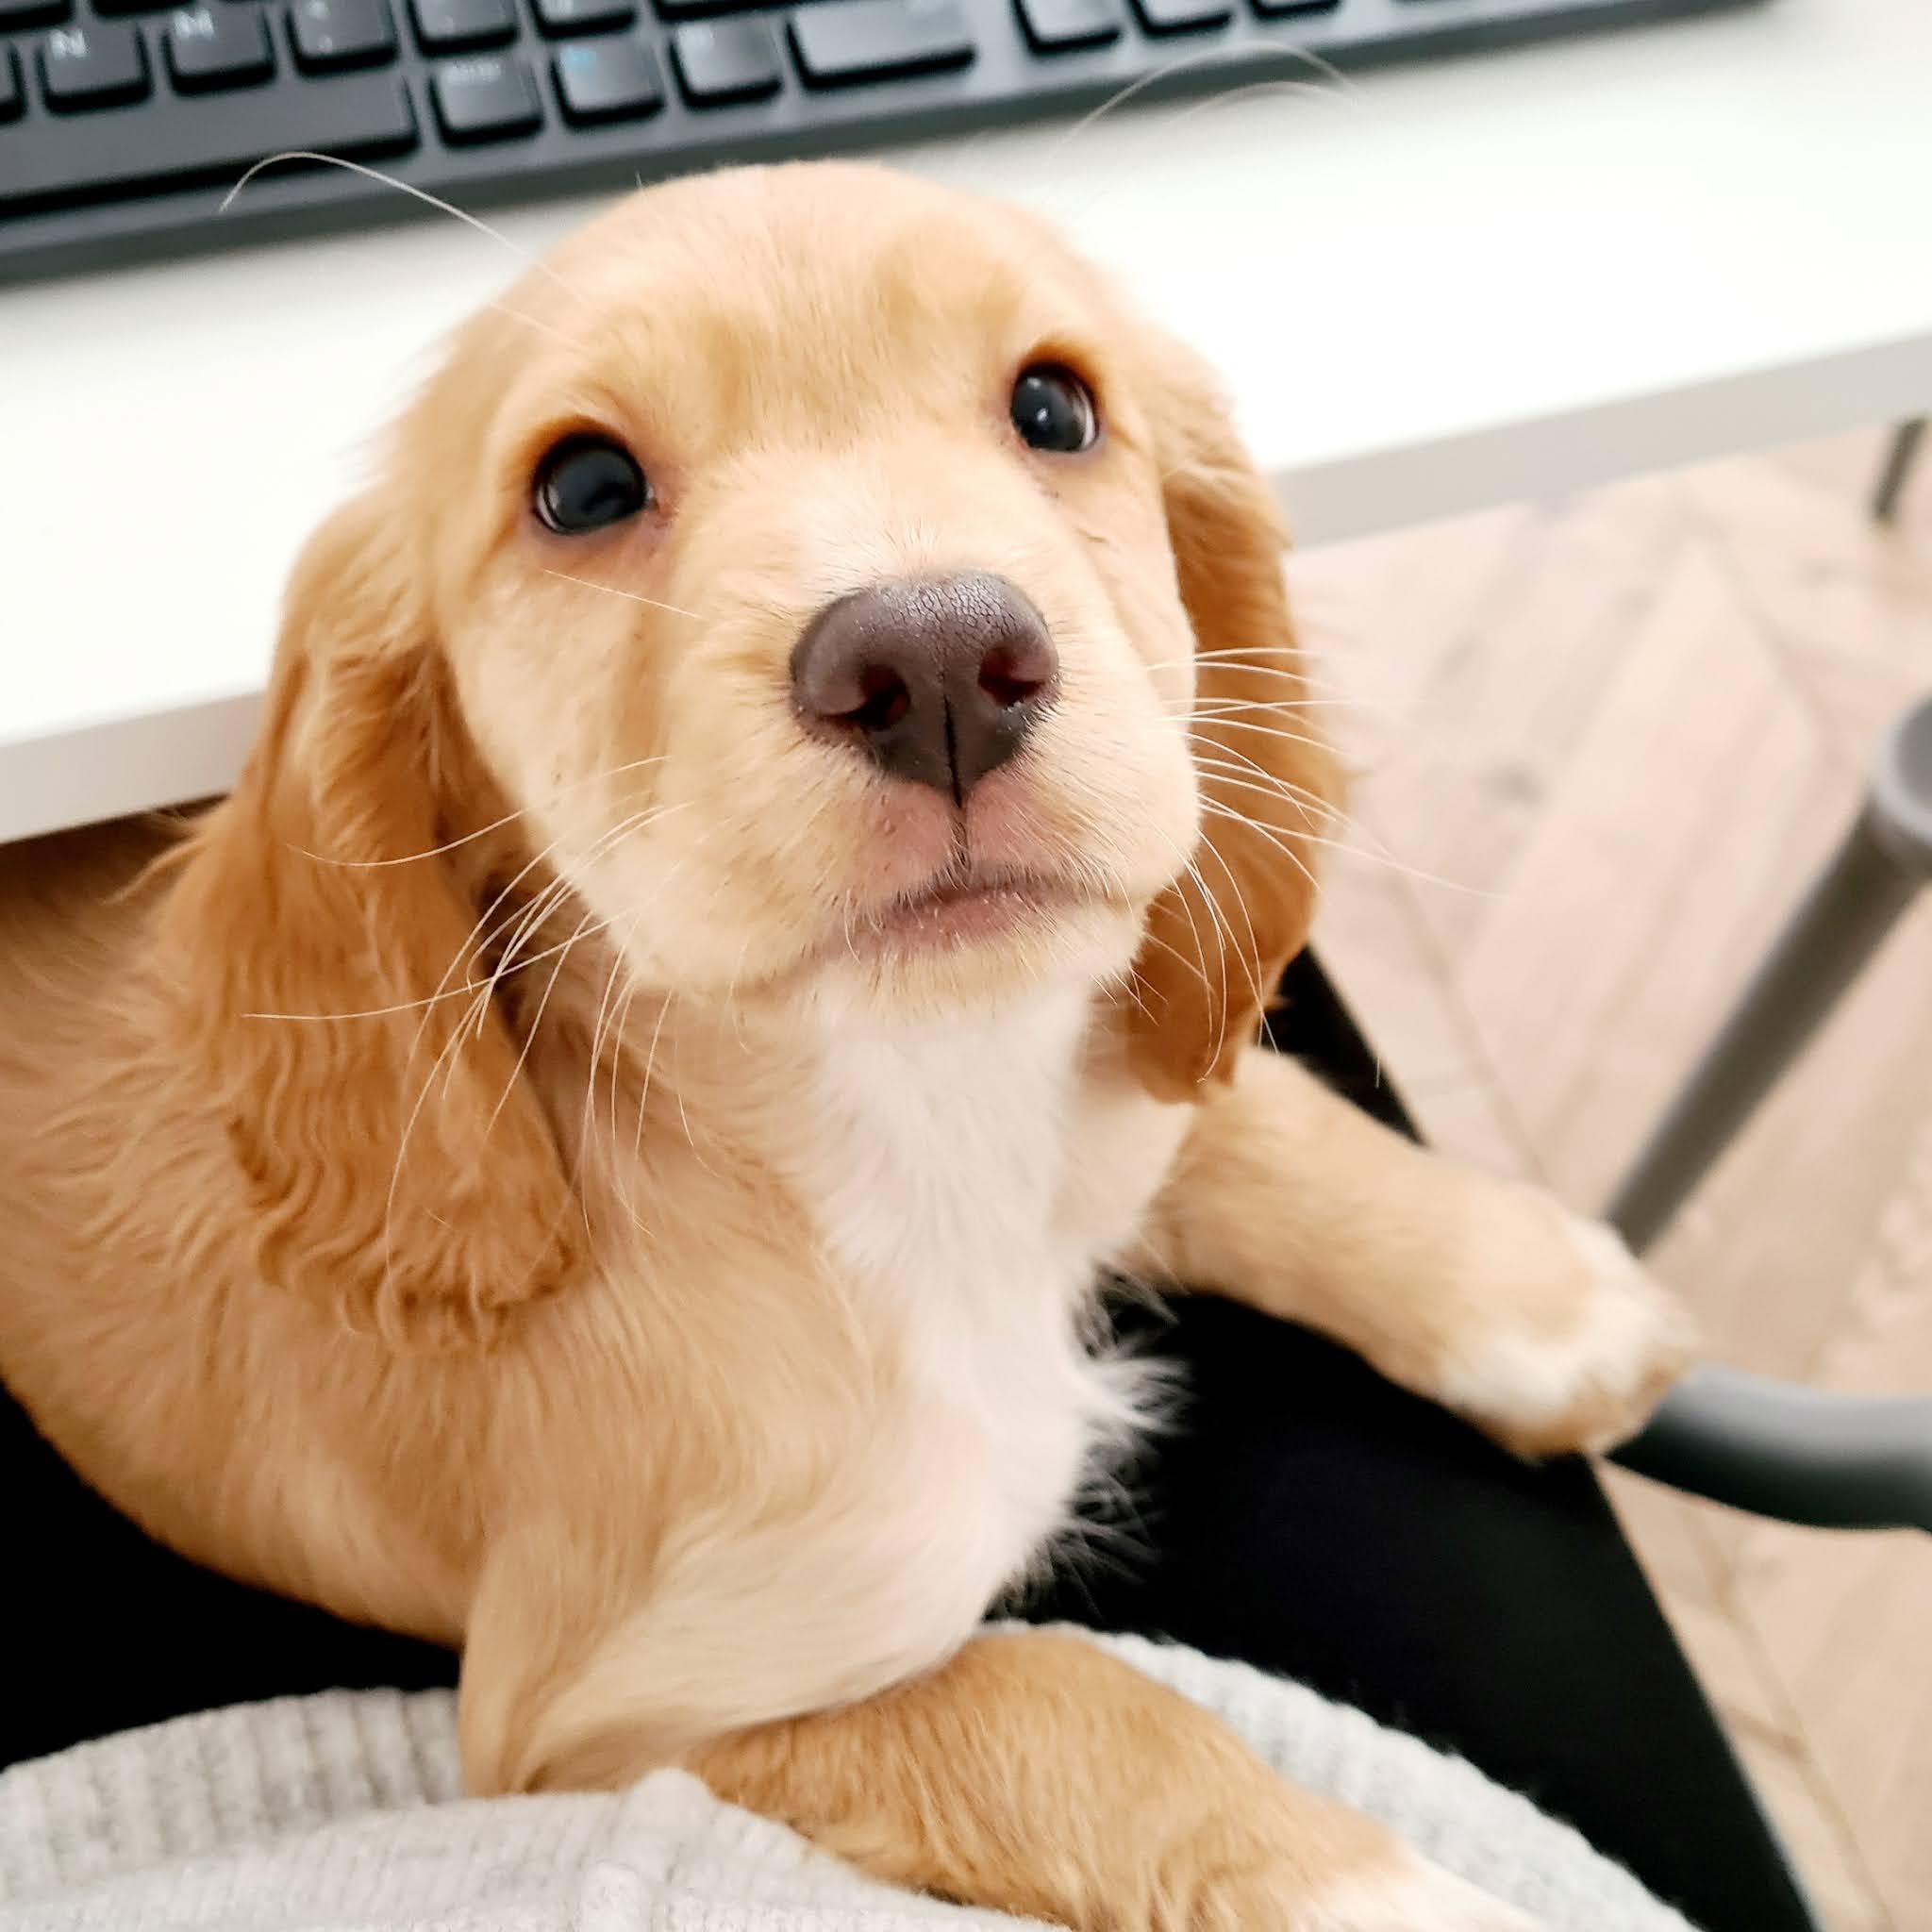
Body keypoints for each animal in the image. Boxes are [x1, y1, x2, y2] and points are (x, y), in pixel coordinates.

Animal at [0, 170, 1692, 1932]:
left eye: (1054, 406)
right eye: (582, 486)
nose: (938, 663)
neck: (913, 1108)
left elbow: (1242, 1124)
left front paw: (1534, 1296)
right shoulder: (613, 1716)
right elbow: (1071, 1705)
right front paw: (1411, 1898)